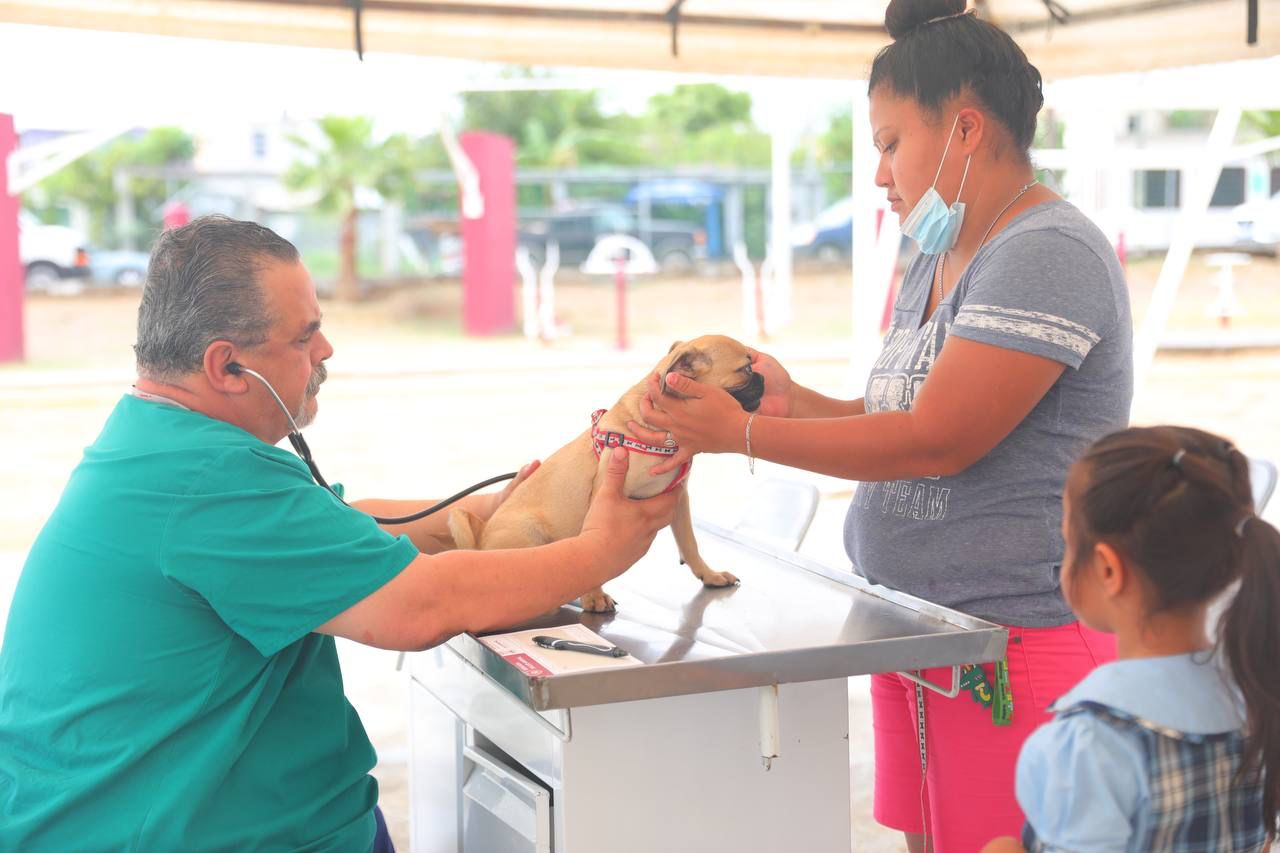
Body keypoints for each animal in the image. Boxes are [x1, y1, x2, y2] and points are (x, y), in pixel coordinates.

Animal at [448, 333, 757, 612]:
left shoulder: (679, 499)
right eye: (745, 369)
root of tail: (479, 543)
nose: (761, 378)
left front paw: (709, 574)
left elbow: (690, 543)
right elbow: (591, 556)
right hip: (529, 532)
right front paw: (594, 597)